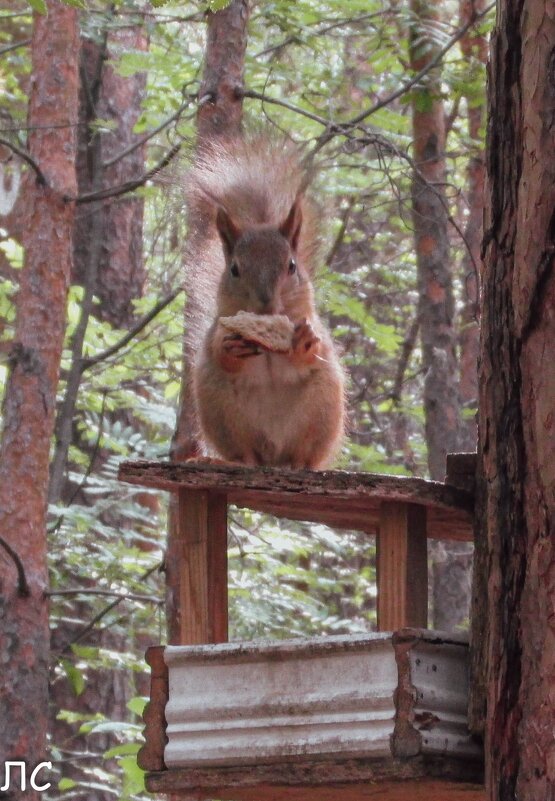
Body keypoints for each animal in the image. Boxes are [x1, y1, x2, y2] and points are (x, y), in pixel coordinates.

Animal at [186, 132, 344, 468]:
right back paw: (224, 461)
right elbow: (219, 350)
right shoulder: (217, 329)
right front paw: (230, 346)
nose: (267, 304)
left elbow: (312, 351)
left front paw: (304, 342)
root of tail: (272, 458)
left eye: (292, 266)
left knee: (305, 456)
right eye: (234, 269)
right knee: (245, 457)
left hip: (322, 410)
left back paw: (300, 465)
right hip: (221, 412)